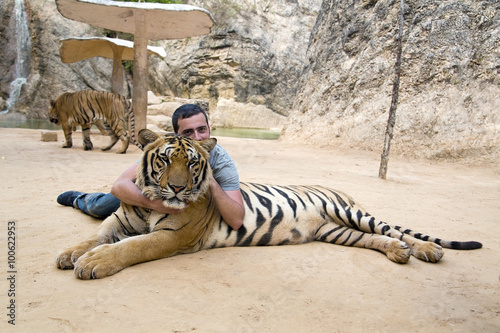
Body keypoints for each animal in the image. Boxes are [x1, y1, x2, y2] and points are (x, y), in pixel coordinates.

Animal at [56, 130, 482, 278]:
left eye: (192, 164)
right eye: (164, 160)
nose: (176, 190)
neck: (148, 203)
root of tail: (341, 194)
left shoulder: (173, 235)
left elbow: (134, 246)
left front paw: (93, 264)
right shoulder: (118, 222)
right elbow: (96, 236)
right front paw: (70, 254)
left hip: (350, 213)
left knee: (395, 229)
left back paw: (427, 250)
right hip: (338, 231)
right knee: (380, 239)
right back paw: (399, 253)